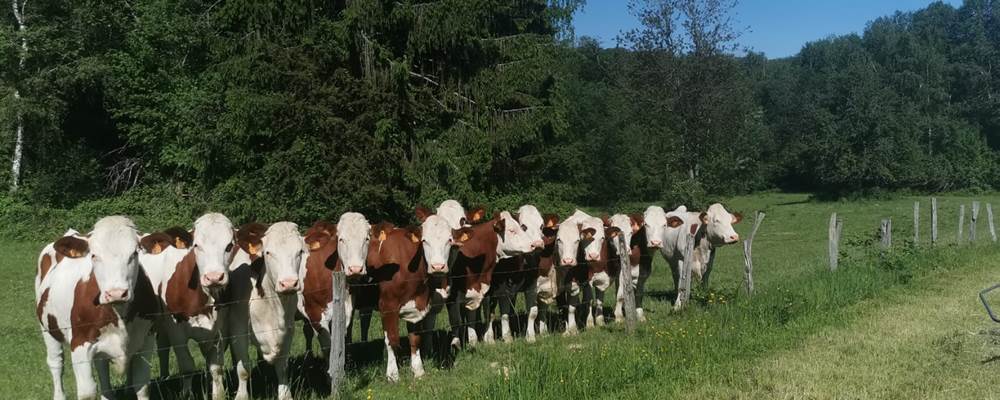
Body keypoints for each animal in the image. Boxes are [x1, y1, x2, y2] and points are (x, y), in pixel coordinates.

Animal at [35, 216, 159, 400]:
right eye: (94, 255)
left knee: (101, 365)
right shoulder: (79, 344)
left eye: (135, 253)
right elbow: (87, 392)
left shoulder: (146, 340)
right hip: (47, 328)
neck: (118, 314)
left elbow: (142, 386)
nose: (116, 293)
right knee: (56, 363)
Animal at [144, 213, 250, 400]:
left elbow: (216, 367)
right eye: (196, 245)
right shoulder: (175, 329)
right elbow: (187, 366)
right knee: (163, 348)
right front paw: (186, 394)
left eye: (229, 246)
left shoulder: (219, 330)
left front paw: (217, 394)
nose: (214, 277)